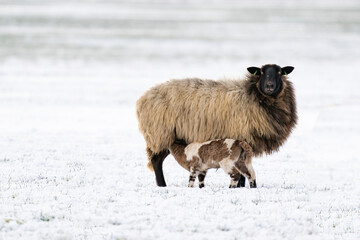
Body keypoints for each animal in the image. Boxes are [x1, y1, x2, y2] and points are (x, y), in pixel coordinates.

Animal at [136, 64, 296, 188]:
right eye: (261, 72)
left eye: (280, 72)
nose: (269, 86)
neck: (253, 96)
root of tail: (143, 98)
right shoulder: (240, 137)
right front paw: (240, 186)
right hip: (160, 134)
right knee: (156, 161)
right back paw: (162, 185)